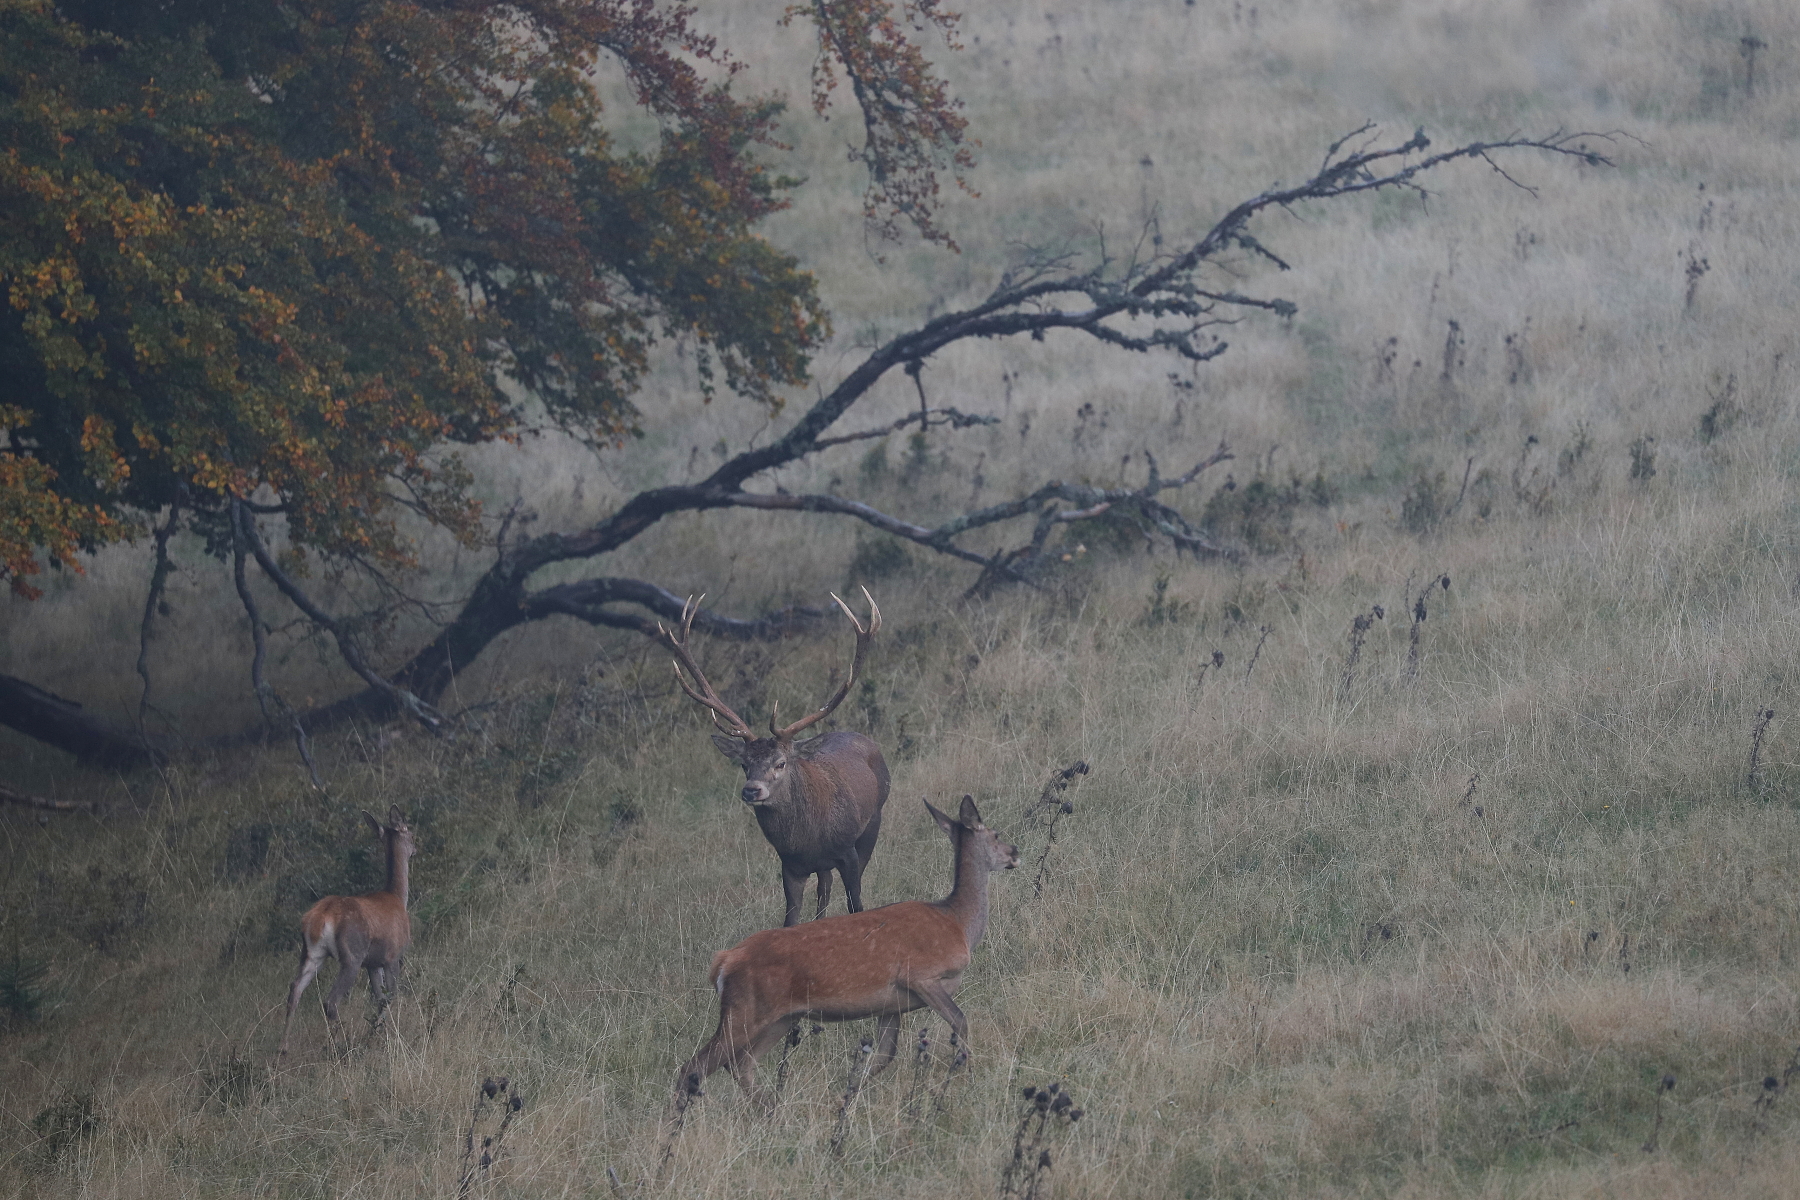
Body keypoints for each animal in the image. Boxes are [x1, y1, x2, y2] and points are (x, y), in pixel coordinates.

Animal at [275, 802, 415, 1057]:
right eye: (411, 833)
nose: (416, 849)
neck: (397, 897)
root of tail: (319, 918)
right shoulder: (392, 956)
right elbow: (391, 995)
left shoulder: (372, 962)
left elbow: (379, 998)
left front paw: (377, 1031)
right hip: (351, 955)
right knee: (330, 1001)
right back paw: (341, 1045)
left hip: (312, 953)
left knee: (295, 989)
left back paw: (283, 1047)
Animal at [658, 590, 889, 928]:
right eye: (744, 764)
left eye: (781, 763)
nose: (751, 790)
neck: (808, 840)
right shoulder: (789, 865)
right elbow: (790, 921)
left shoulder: (847, 851)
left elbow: (855, 904)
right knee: (824, 889)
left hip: (874, 821)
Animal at [676, 791, 1022, 1115]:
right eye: (996, 834)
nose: (1015, 852)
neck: (957, 923)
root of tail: (723, 961)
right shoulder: (921, 975)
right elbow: (961, 1022)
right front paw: (971, 1078)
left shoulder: (891, 1004)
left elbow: (883, 1056)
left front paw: (845, 1097)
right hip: (744, 1008)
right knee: (694, 1066)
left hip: (780, 1018)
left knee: (740, 1064)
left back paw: (773, 1110)